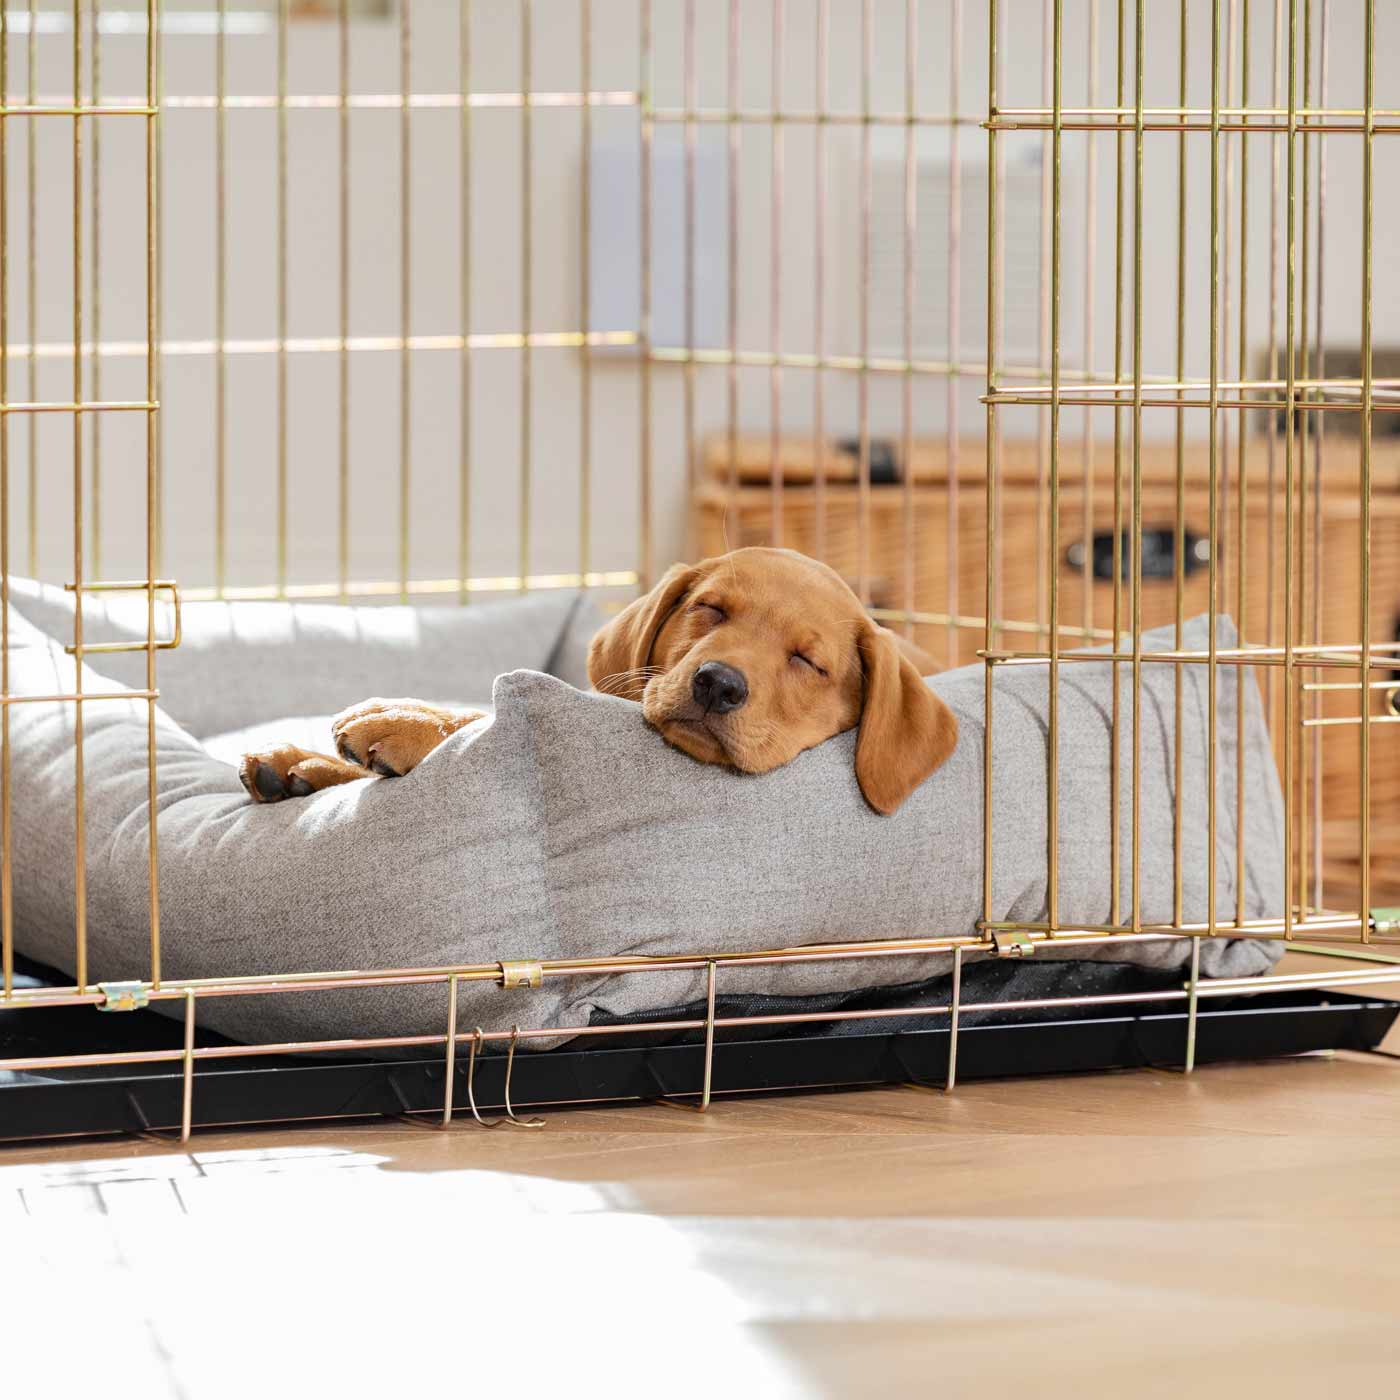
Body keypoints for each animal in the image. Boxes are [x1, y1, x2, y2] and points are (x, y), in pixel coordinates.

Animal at [243, 543, 963, 817]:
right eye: (710, 609)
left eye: (808, 662)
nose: (717, 684)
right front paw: (308, 761)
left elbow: (478, 719)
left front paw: (403, 725)